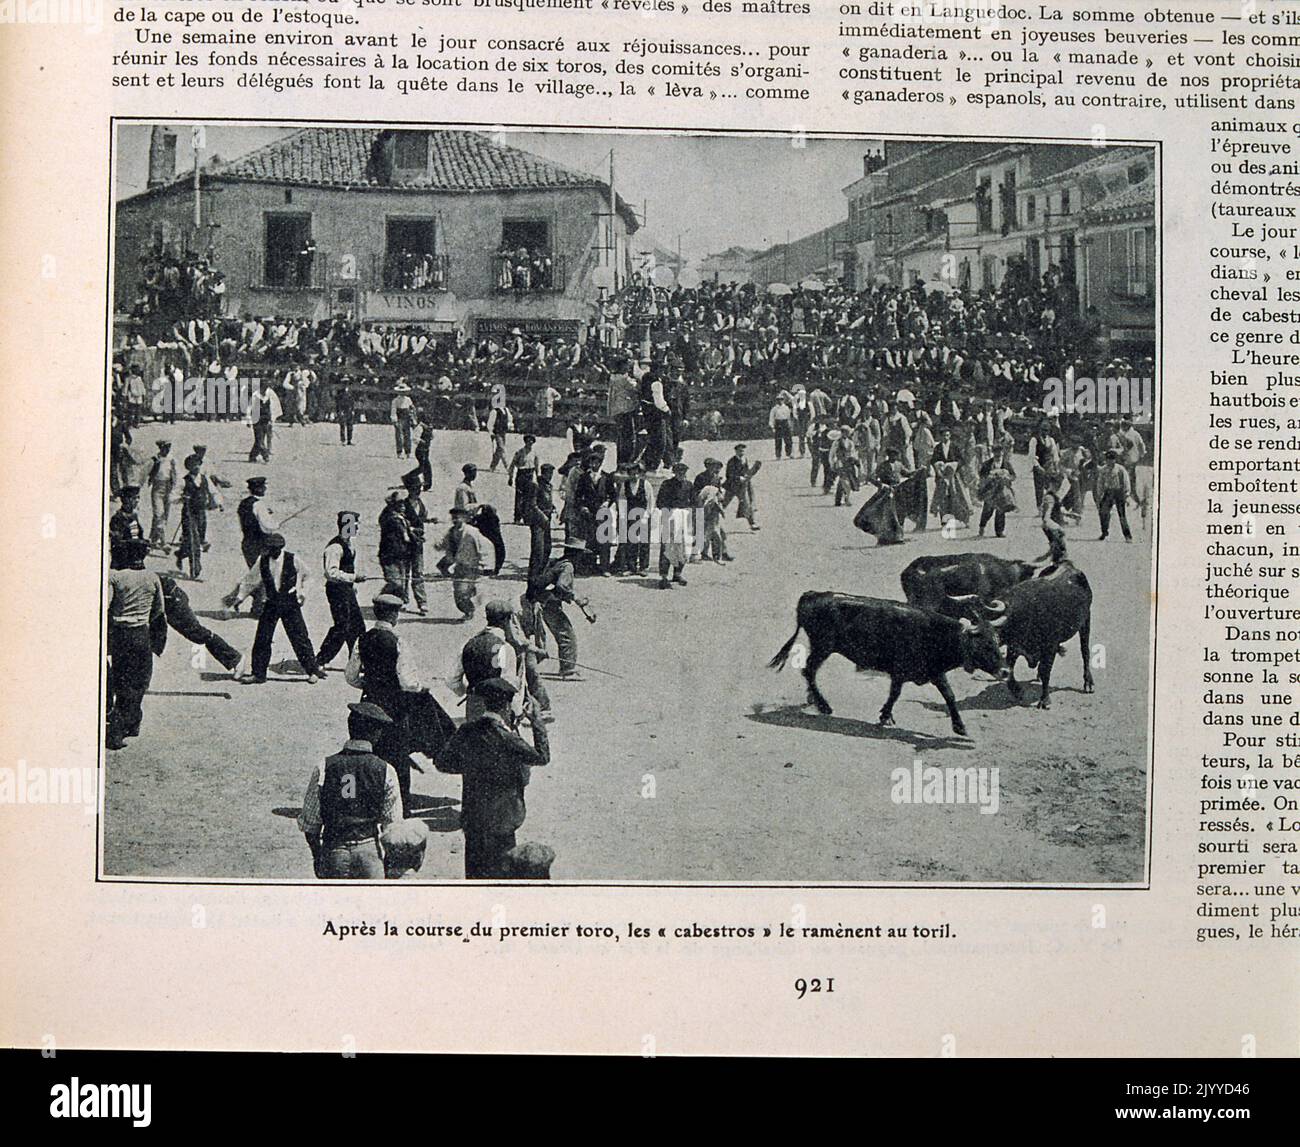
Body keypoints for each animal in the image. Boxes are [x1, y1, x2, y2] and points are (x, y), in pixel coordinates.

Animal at [764, 590, 1008, 733]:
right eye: (984, 645)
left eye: (997, 641)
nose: (1005, 671)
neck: (935, 634)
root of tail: (811, 595)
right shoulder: (899, 671)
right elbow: (895, 693)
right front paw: (885, 716)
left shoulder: (935, 672)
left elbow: (949, 695)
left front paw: (960, 727)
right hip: (823, 647)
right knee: (809, 670)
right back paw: (823, 705)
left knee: (810, 672)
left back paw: (813, 700)